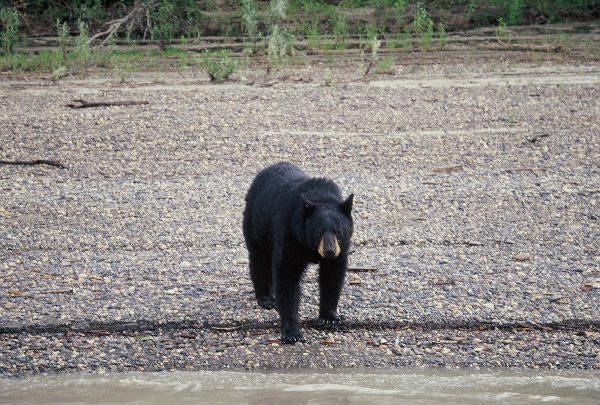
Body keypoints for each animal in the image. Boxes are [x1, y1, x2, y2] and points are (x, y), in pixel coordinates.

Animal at [243, 162, 354, 344]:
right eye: (318, 232)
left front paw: (329, 317)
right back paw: (266, 298)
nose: (329, 251)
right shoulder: (290, 235)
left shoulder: (341, 248)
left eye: (338, 231)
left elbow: (332, 276)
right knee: (259, 259)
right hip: (256, 224)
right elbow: (287, 278)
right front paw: (292, 333)